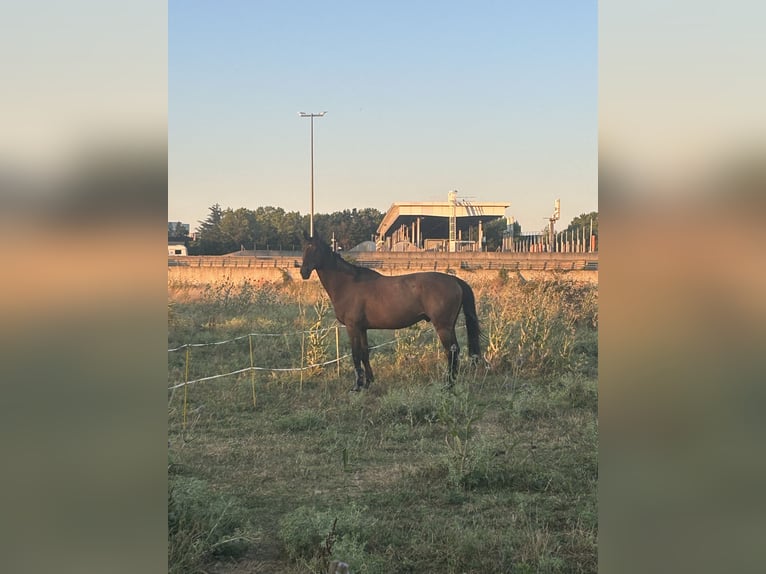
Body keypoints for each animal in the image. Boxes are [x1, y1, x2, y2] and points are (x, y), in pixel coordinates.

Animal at [300, 233, 481, 391]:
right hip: (449, 327)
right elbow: (364, 353)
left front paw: (357, 386)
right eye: (304, 248)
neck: (348, 283)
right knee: (455, 350)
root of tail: (454, 280)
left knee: (451, 351)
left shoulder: (352, 327)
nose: (303, 272)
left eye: (315, 249)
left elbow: (355, 354)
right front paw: (368, 382)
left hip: (443, 327)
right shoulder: (362, 328)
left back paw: (449, 384)